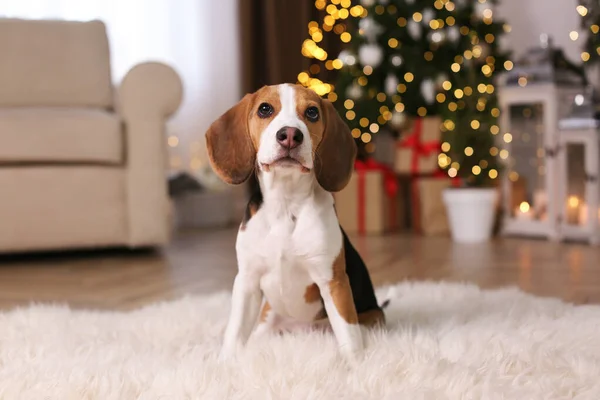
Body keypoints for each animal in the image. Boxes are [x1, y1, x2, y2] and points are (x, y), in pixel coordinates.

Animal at [205, 83, 384, 360]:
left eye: (312, 113)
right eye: (264, 109)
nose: (289, 134)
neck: (285, 203)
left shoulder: (333, 282)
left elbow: (348, 333)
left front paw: (355, 363)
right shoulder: (247, 281)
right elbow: (235, 331)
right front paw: (225, 362)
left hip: (373, 317)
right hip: (268, 313)